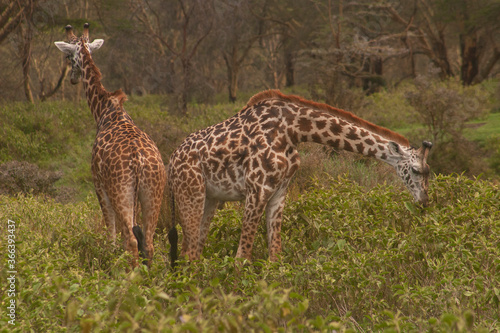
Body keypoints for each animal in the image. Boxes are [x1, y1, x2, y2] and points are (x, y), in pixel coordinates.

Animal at [54, 24, 166, 268]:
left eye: (67, 56)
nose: (73, 79)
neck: (104, 109)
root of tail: (139, 161)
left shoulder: (98, 185)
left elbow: (110, 234)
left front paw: (108, 257)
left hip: (120, 192)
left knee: (131, 240)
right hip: (153, 192)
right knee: (148, 242)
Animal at [166, 89, 432, 266]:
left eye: (429, 171)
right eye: (416, 170)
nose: (424, 201)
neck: (293, 130)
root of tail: (172, 161)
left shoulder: (278, 191)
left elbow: (275, 255)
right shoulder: (257, 190)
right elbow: (242, 258)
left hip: (210, 199)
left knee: (194, 251)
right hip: (191, 194)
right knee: (189, 254)